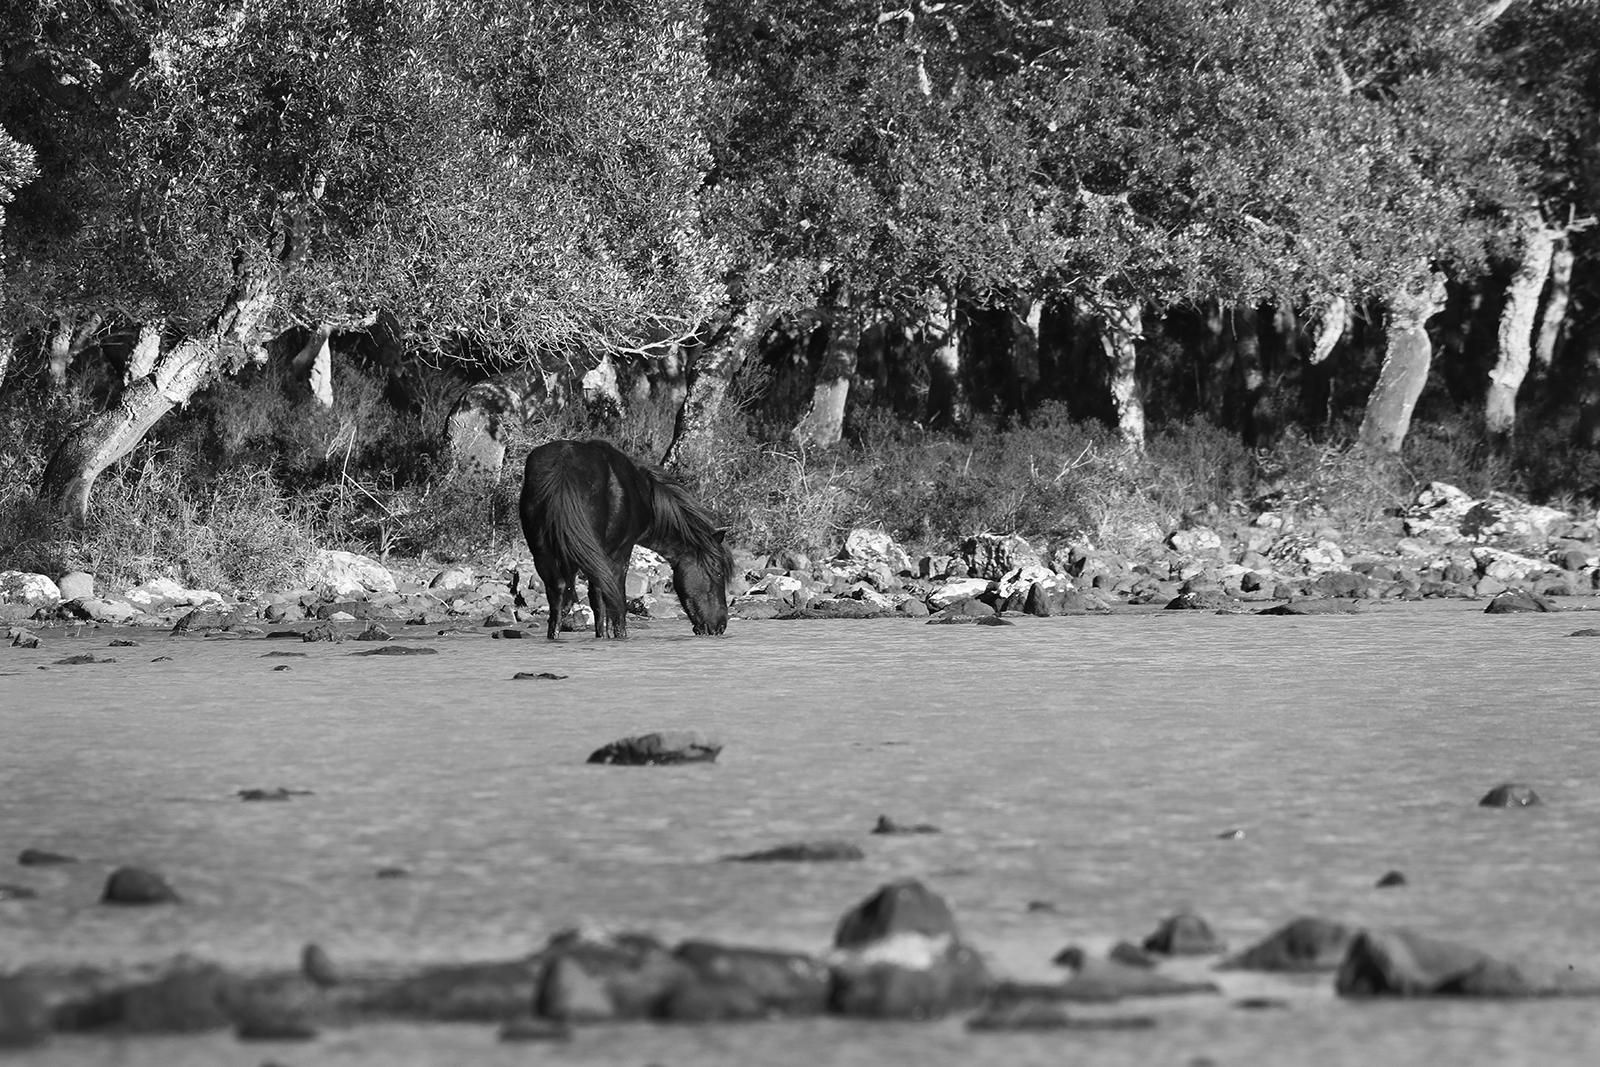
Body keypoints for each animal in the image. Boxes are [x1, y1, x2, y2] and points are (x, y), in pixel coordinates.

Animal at [518, 438, 732, 639]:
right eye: (717, 573)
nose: (720, 627)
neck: (645, 497)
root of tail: (563, 468)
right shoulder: (619, 554)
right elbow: (613, 600)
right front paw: (619, 635)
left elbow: (598, 601)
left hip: (545, 555)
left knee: (559, 596)